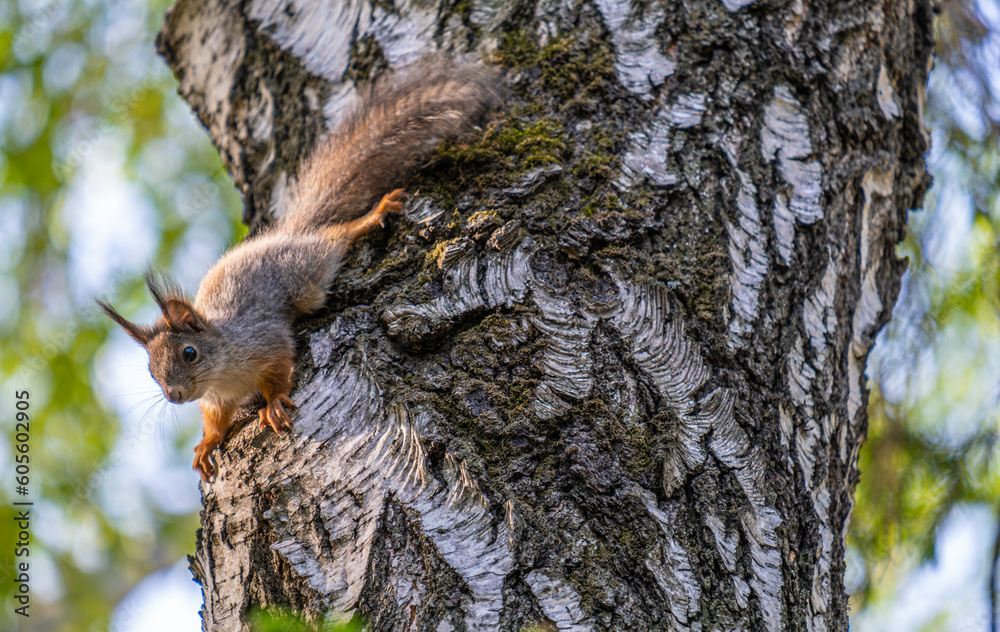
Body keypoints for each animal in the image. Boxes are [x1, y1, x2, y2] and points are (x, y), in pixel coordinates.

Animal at [98, 59, 503, 482]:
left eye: (189, 353)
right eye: (150, 370)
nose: (175, 396)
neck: (223, 372)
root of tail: (290, 234)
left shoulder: (265, 341)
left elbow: (279, 369)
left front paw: (274, 403)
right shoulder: (216, 400)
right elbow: (215, 421)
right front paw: (207, 444)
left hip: (307, 275)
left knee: (333, 238)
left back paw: (369, 216)